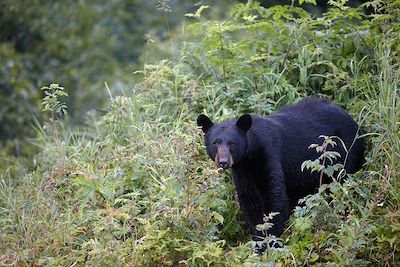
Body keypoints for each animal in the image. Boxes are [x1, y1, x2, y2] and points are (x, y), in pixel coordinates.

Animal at [197, 97, 366, 240]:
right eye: (215, 143)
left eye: (232, 143)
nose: (223, 162)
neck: (250, 156)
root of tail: (350, 117)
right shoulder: (242, 171)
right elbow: (250, 200)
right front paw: (259, 240)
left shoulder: (269, 155)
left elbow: (274, 197)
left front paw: (272, 241)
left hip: (346, 152)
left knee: (341, 182)